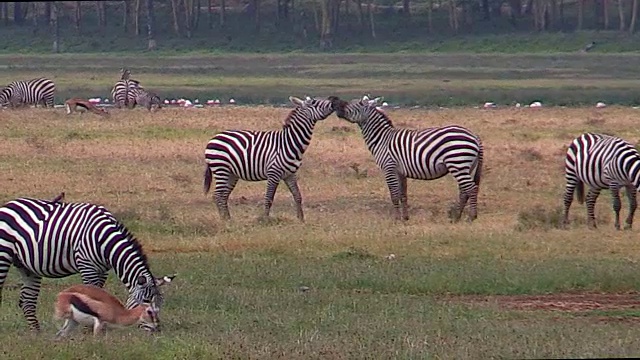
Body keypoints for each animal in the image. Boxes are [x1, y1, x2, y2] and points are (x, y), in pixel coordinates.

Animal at [0, 197, 175, 332]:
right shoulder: (87, 266)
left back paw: (36, 334)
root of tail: (9, 204)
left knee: (27, 301)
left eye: (161, 304)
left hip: (27, 267)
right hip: (3, 255)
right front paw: (88, 330)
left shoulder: (103, 270)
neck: (105, 239)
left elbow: (100, 294)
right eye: (146, 302)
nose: (156, 331)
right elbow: (91, 293)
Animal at [204, 95, 338, 221]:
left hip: (231, 173)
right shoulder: (273, 173)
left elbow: (297, 196)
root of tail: (214, 138)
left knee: (223, 195)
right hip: (221, 168)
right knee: (218, 195)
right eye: (314, 102)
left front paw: (301, 219)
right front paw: (265, 219)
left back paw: (228, 219)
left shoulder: (290, 174)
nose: (334, 102)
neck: (288, 142)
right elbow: (269, 198)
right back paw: (224, 220)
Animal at [330, 97, 484, 224]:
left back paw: (471, 217)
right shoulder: (400, 172)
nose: (335, 103)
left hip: (457, 163)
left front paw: (397, 219)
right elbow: (403, 195)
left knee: (471, 188)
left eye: (358, 104)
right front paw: (405, 218)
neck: (382, 139)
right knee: (464, 191)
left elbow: (393, 194)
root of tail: (475, 136)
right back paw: (457, 217)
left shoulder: (389, 168)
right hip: (467, 166)